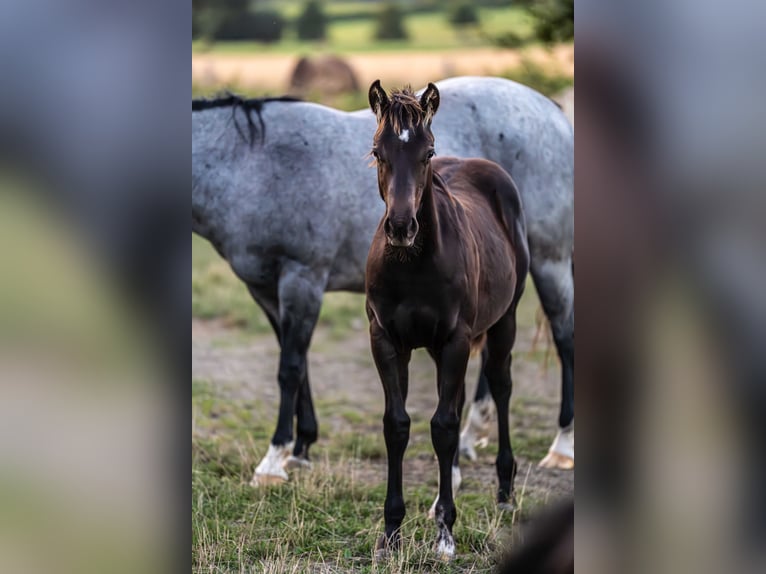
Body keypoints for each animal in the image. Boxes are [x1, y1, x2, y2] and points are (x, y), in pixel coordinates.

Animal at [191, 76, 573, 486]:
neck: (253, 164)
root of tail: (553, 111)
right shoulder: (266, 291)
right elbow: (298, 362)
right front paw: (302, 447)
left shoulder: (302, 279)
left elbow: (290, 369)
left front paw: (274, 460)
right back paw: (470, 437)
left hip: (550, 261)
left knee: (563, 337)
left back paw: (562, 446)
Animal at [365, 80, 529, 559]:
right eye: (378, 151)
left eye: (428, 152)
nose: (402, 227)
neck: (412, 265)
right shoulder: (386, 340)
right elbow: (398, 425)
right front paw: (391, 534)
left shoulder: (456, 339)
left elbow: (442, 427)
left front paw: (445, 535)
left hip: (503, 322)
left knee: (500, 386)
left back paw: (504, 491)